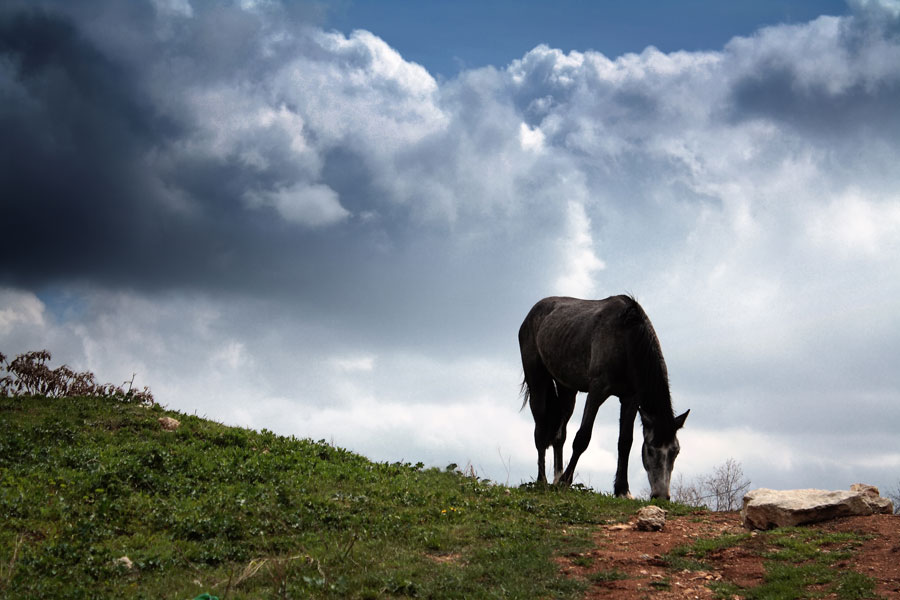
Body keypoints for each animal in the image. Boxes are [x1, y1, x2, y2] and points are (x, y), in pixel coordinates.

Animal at [520, 294, 688, 496]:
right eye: (650, 450)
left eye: (675, 452)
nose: (661, 495)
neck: (627, 338)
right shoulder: (597, 390)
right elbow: (582, 437)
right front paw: (566, 482)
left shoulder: (631, 399)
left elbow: (625, 442)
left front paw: (622, 490)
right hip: (537, 382)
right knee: (540, 430)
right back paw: (542, 481)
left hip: (567, 389)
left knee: (559, 435)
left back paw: (556, 478)